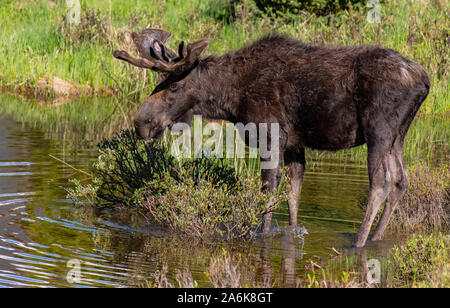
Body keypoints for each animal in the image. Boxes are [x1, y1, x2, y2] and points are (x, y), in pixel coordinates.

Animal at [114, 27, 430, 247]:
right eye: (157, 82)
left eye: (175, 86)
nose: (141, 123)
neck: (230, 99)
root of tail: (425, 81)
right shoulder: (294, 145)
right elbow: (292, 197)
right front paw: (291, 233)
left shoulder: (270, 136)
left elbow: (268, 195)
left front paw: (261, 235)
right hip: (398, 135)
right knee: (401, 180)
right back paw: (376, 238)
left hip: (379, 129)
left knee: (381, 182)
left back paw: (359, 242)